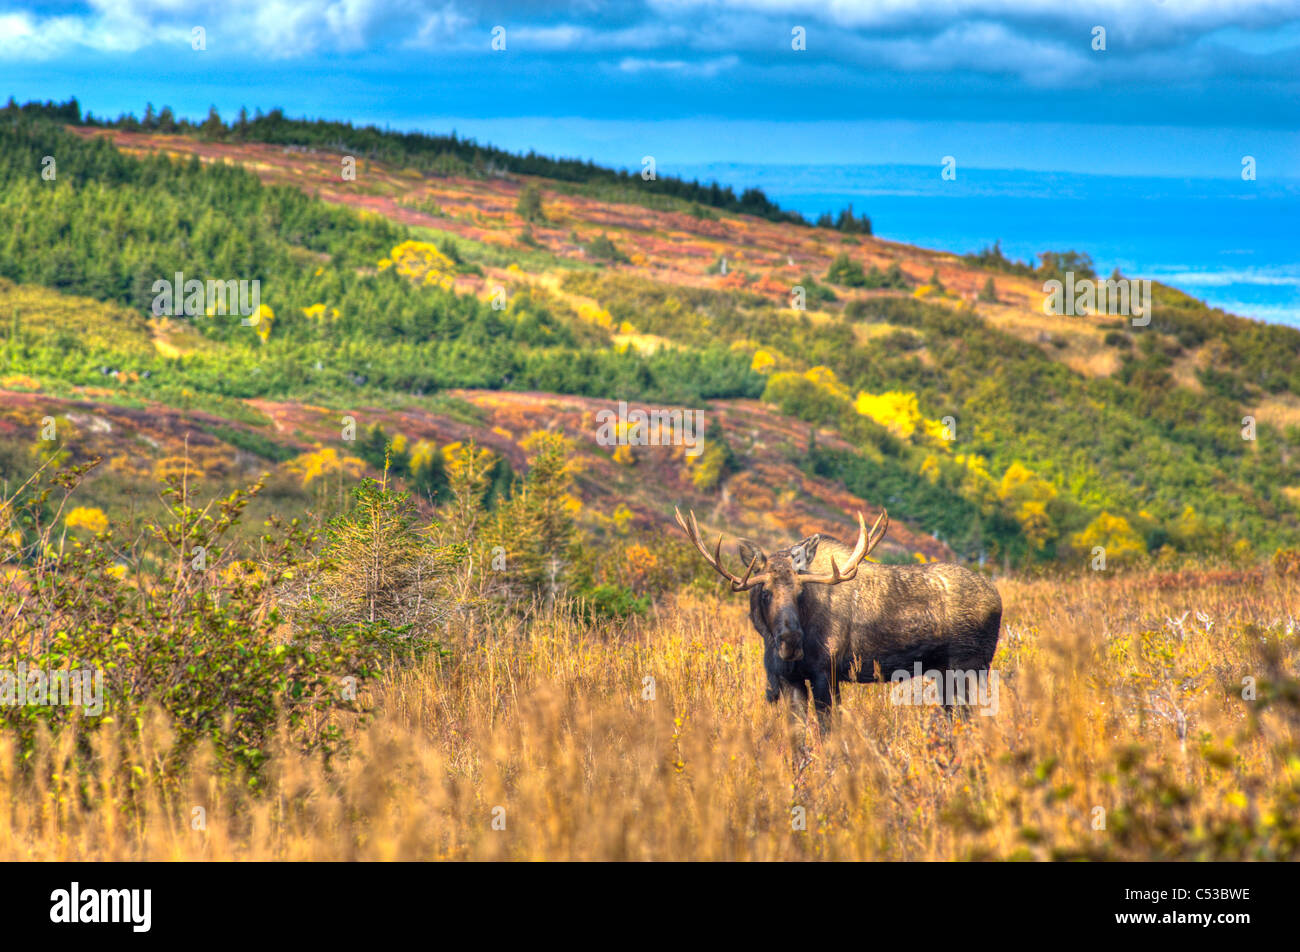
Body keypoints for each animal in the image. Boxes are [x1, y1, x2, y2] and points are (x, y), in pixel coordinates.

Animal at [676, 504, 998, 723]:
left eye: (801, 591)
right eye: (765, 592)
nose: (790, 641)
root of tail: (997, 596)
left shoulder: (826, 674)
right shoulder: (790, 680)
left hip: (970, 666)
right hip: (943, 671)